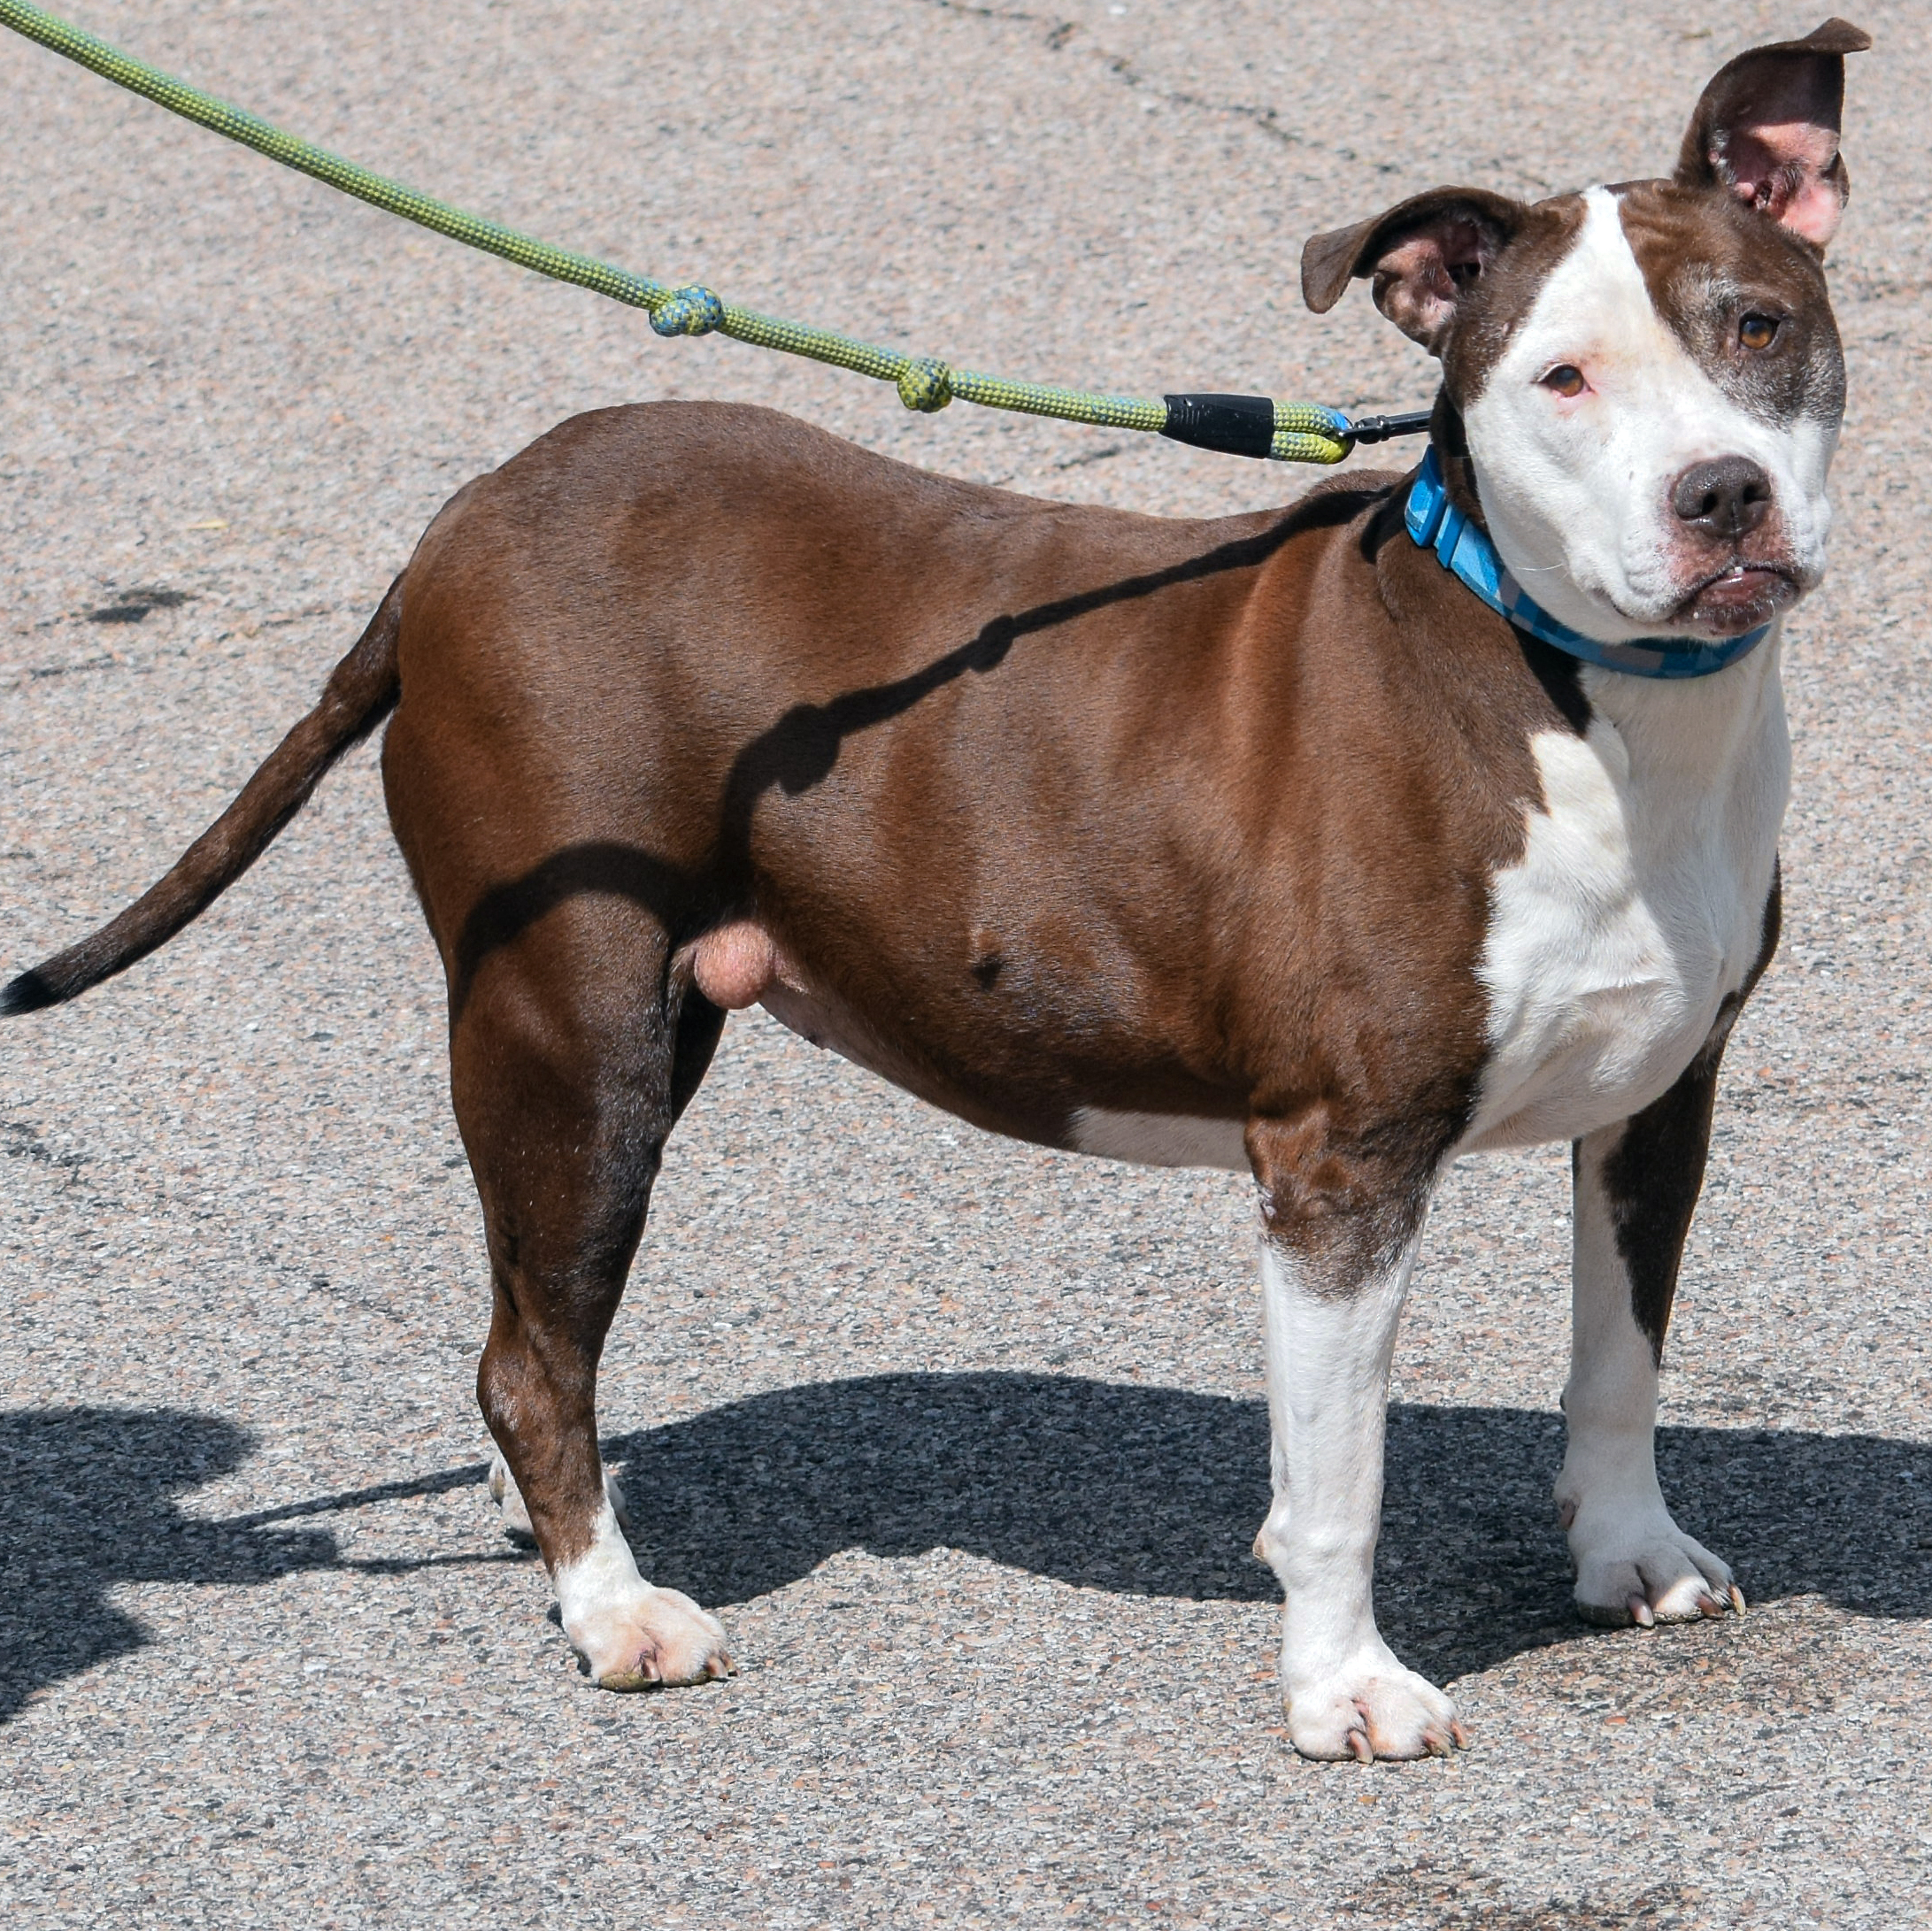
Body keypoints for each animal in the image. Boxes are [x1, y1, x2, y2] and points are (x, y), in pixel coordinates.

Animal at [4, 19, 1870, 1768]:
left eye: (1753, 329)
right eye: (1560, 377)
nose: (1719, 496)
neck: (1575, 684)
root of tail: (456, 529)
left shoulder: (1659, 1094)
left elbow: (1619, 1355)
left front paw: (1626, 1554)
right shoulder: (1339, 1159)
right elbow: (1334, 1478)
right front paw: (1342, 1689)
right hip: (569, 1024)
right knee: (534, 1353)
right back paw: (612, 1604)